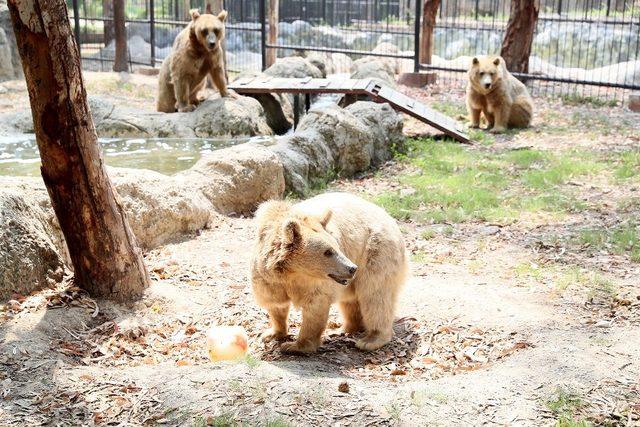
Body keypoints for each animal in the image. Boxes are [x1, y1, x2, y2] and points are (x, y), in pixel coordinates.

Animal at [251, 192, 410, 352]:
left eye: (336, 247)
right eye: (328, 252)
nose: (352, 268)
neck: (293, 274)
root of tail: (389, 217)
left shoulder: (316, 285)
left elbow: (314, 308)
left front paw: (294, 346)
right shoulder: (268, 279)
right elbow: (275, 304)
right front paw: (272, 333)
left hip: (375, 251)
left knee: (375, 296)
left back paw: (370, 339)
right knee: (350, 301)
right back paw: (342, 328)